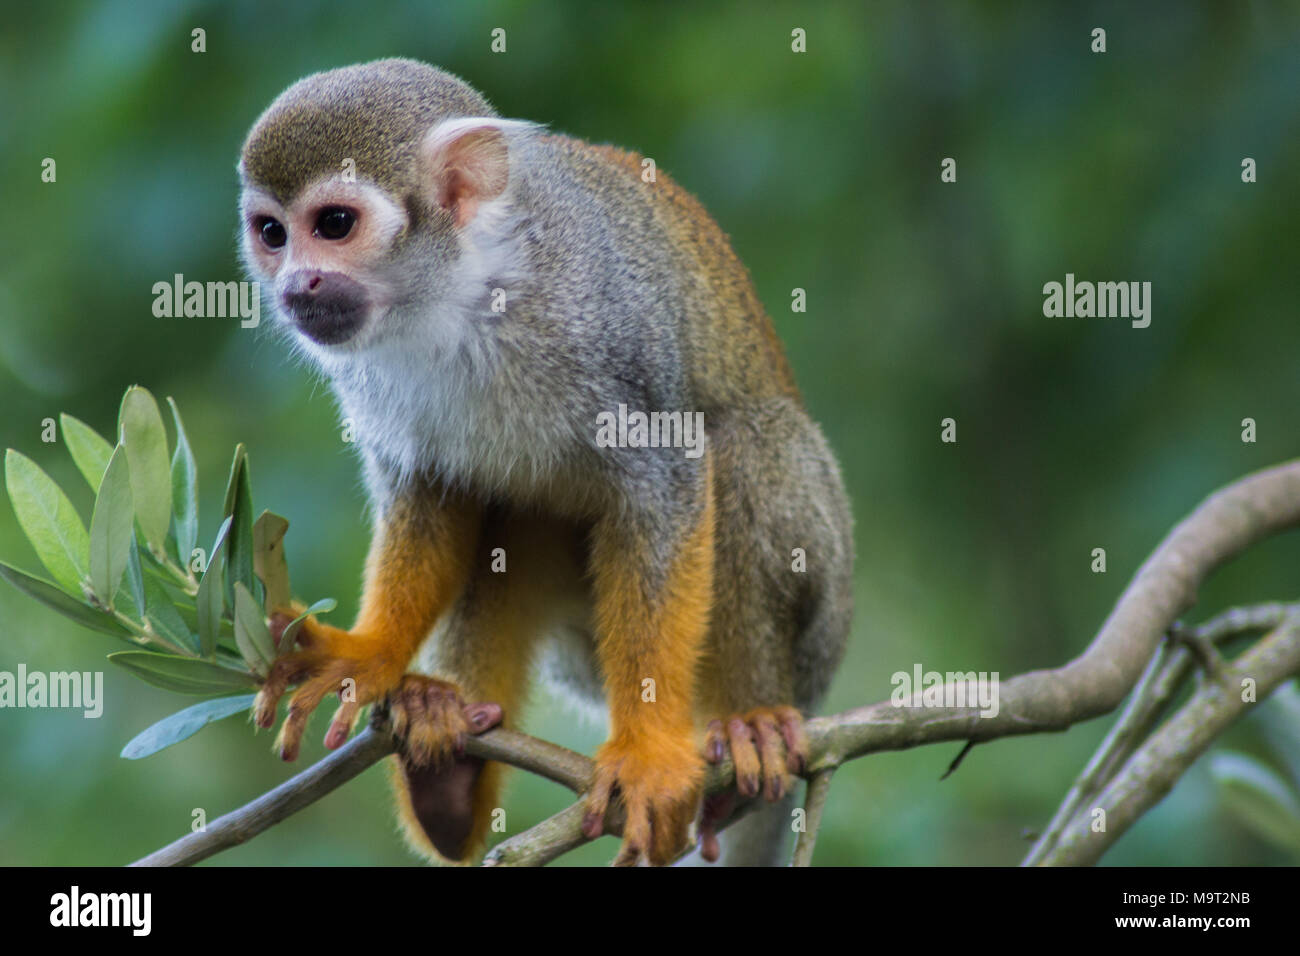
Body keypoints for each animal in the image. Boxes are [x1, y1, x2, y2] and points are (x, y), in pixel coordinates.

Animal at [238, 58, 853, 866]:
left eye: (334, 225)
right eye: (272, 234)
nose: (294, 285)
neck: (463, 294)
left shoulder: (604, 323)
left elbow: (666, 481)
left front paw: (650, 752)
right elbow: (431, 490)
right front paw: (370, 654)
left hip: (820, 620)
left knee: (745, 444)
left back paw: (750, 723)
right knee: (508, 506)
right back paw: (449, 773)